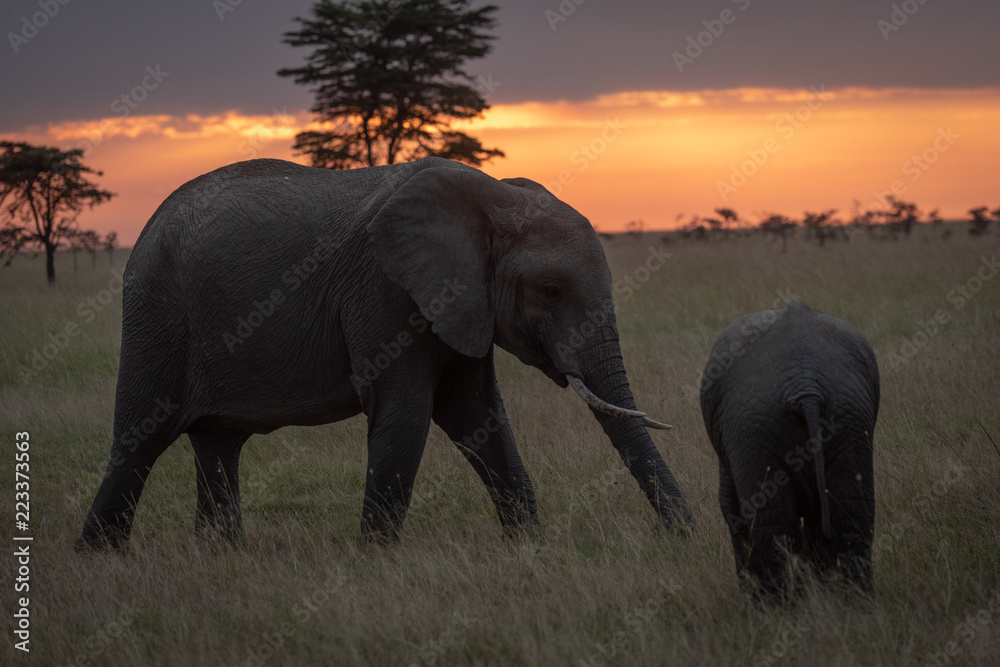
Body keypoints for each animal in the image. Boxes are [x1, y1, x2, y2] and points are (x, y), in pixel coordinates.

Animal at [76, 156, 694, 552]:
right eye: (550, 291)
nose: (683, 540)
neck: (493, 196)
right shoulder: (386, 289)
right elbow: (407, 416)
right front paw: (376, 563)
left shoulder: (461, 302)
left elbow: (477, 415)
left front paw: (530, 551)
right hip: (158, 316)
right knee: (140, 439)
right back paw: (100, 560)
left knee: (217, 443)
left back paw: (221, 557)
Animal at [699, 300, 878, 598]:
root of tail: (807, 388)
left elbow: (733, 511)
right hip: (848, 417)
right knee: (853, 517)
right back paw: (857, 602)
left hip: (754, 424)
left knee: (773, 527)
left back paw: (776, 605)